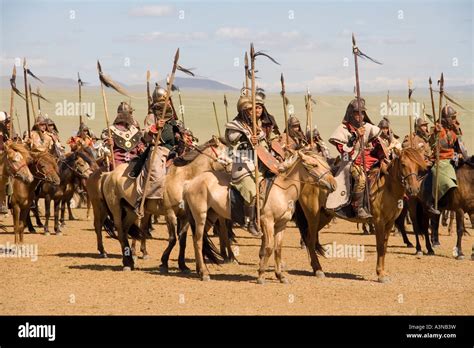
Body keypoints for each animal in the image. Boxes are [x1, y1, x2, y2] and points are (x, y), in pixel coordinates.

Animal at [183, 150, 336, 282]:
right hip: (200, 216)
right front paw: (261, 275)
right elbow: (268, 247)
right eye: (314, 165)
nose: (334, 184)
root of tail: (190, 182)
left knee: (200, 240)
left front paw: (280, 276)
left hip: (211, 215)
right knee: (198, 241)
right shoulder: (267, 222)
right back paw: (204, 273)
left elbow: (278, 249)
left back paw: (199, 270)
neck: (282, 191)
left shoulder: (281, 224)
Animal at [296, 147, 426, 282]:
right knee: (310, 239)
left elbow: (384, 247)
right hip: (312, 216)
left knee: (309, 238)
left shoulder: (389, 223)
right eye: (403, 164)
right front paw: (380, 274)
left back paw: (315, 267)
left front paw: (383, 272)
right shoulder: (379, 222)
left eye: (417, 166)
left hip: (323, 216)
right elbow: (380, 246)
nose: (414, 189)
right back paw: (318, 270)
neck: (387, 188)